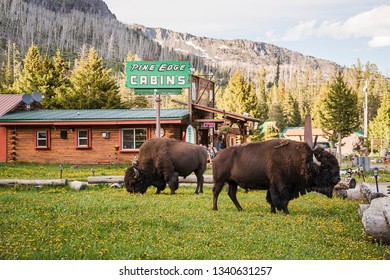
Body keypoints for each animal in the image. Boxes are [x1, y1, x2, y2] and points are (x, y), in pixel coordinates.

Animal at [212, 139, 340, 214]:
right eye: (327, 167)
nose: (338, 178)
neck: (305, 162)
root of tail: (218, 153)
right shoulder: (282, 186)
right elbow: (283, 199)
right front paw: (286, 212)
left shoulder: (271, 186)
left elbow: (271, 199)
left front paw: (273, 211)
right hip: (220, 180)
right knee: (216, 192)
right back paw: (215, 208)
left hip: (232, 182)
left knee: (232, 194)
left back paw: (241, 209)